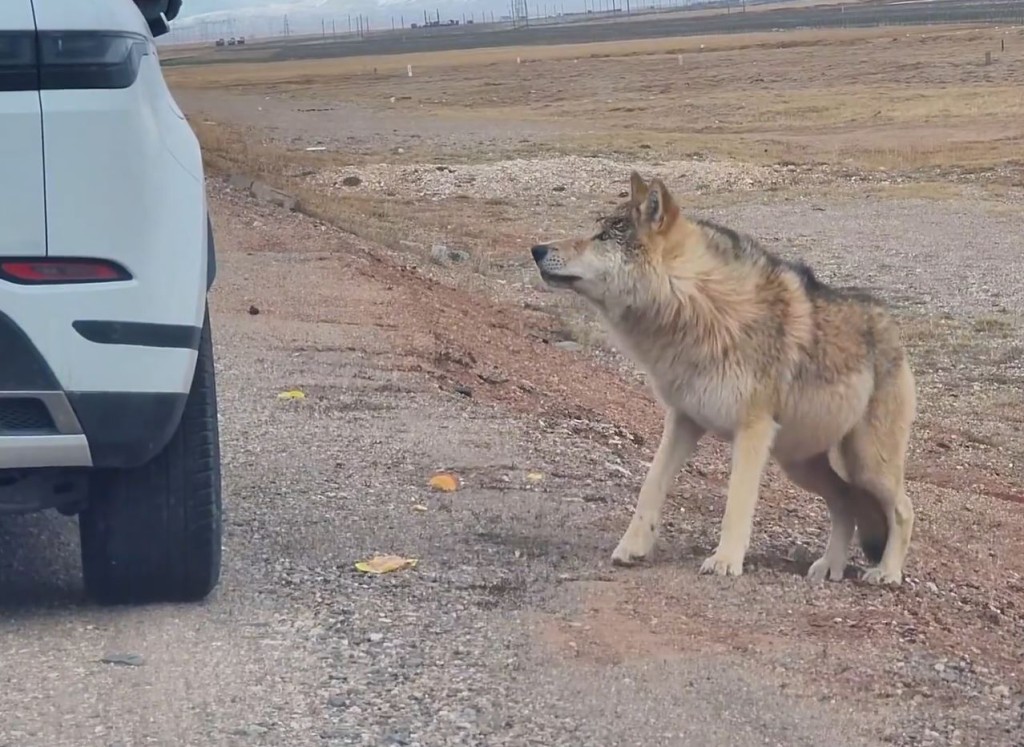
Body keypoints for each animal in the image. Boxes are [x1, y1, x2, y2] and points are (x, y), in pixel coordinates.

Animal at [532, 172, 917, 586]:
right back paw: (830, 566)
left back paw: (887, 572)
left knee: (903, 508)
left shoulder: (752, 431)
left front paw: (725, 561)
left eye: (603, 236)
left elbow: (737, 502)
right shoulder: (683, 420)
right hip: (799, 464)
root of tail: (893, 327)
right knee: (846, 501)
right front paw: (631, 547)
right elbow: (650, 486)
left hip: (867, 465)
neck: (698, 305)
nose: (536, 249)